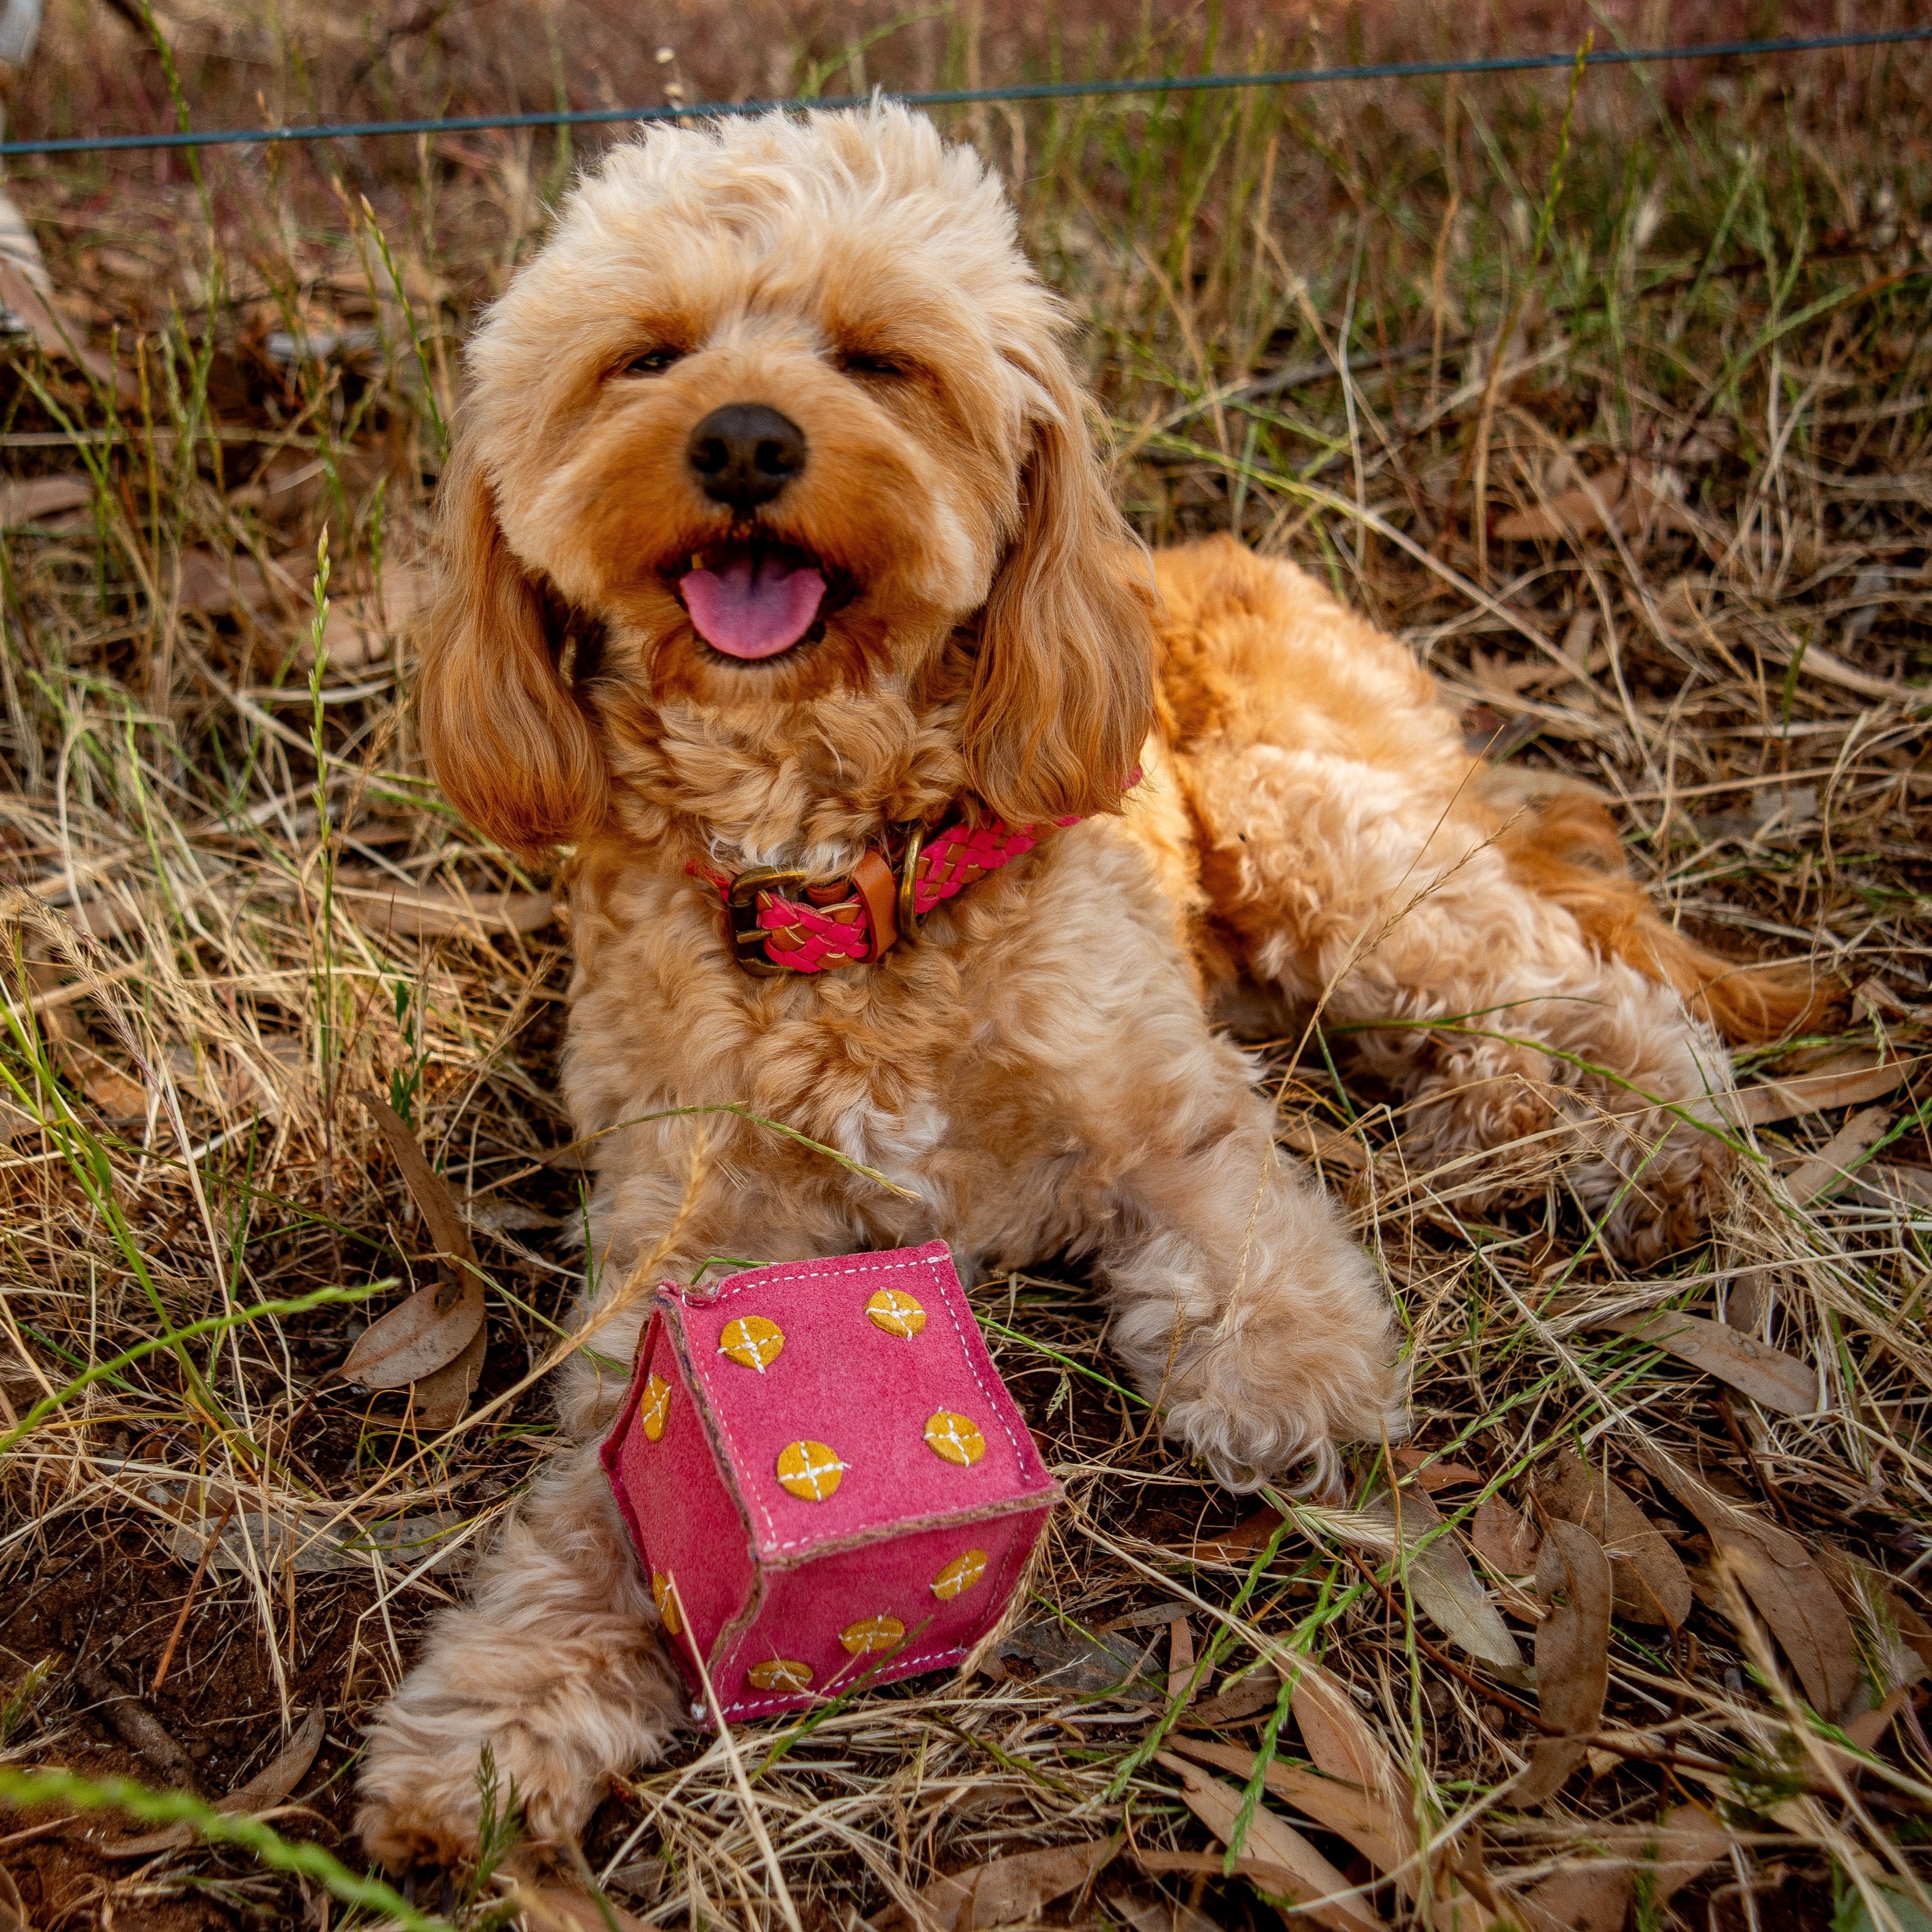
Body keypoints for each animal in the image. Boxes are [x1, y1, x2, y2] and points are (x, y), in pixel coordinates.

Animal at [355, 98, 1816, 1862]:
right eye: (646, 356)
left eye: (877, 358)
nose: (747, 442)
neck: (844, 869)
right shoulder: (681, 1252)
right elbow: (600, 1490)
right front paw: (496, 1712)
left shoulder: (1148, 1081)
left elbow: (1221, 1200)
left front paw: (1277, 1359)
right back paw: (1492, 1120)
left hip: (1307, 829)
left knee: (1571, 978)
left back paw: (1648, 1145)